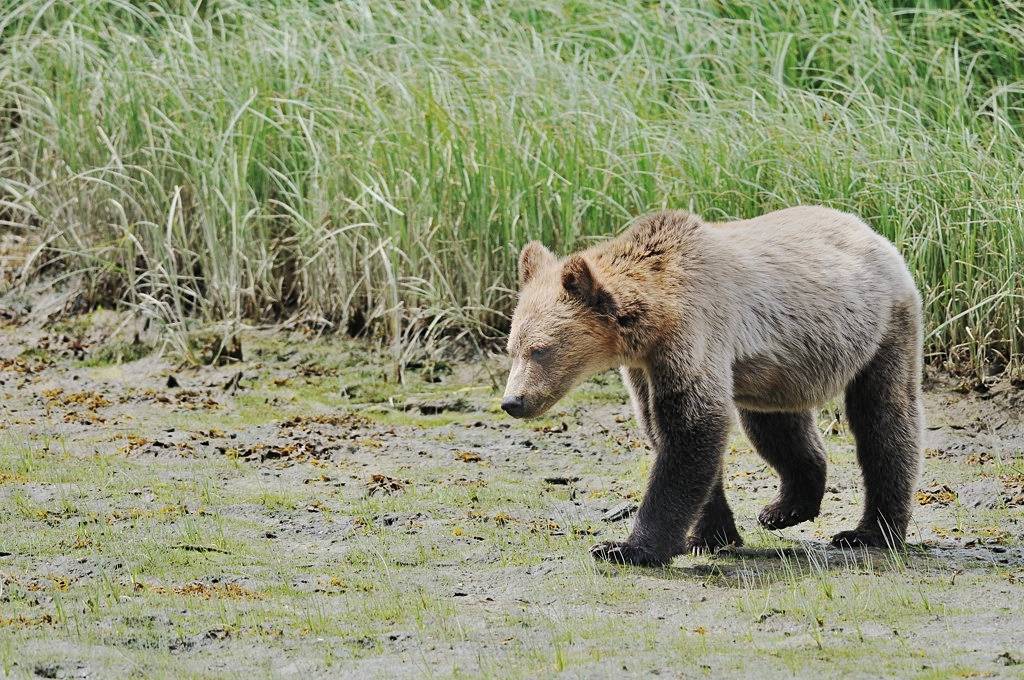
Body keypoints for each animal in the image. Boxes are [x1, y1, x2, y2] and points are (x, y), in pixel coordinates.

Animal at [499, 204, 925, 565]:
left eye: (540, 350)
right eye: (512, 348)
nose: (513, 401)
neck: (652, 321)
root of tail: (871, 231)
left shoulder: (695, 332)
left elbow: (691, 428)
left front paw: (625, 547)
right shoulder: (646, 366)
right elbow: (663, 429)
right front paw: (709, 535)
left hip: (882, 327)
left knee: (883, 419)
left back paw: (870, 532)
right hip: (779, 367)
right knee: (776, 428)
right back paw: (784, 509)